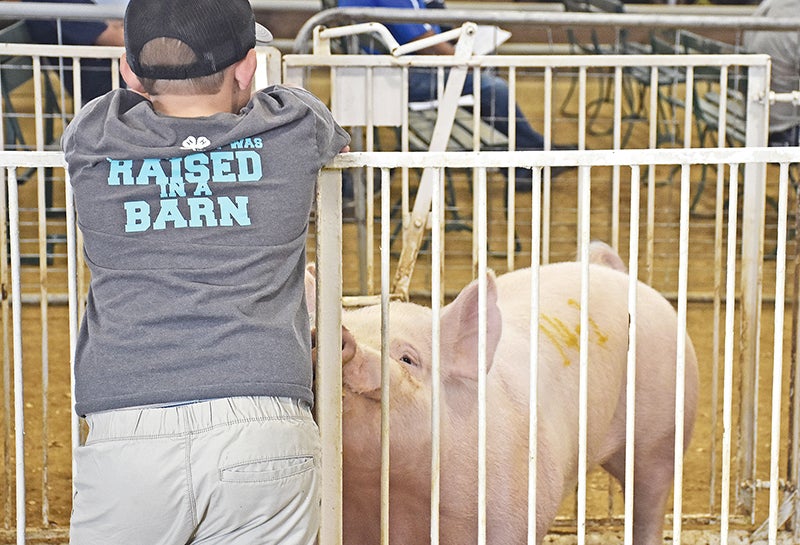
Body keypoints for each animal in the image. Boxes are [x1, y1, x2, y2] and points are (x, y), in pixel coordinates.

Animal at [310, 242, 696, 544]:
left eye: (407, 358)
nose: (341, 336)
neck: (392, 495)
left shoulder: (515, 509)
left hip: (663, 432)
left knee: (648, 501)